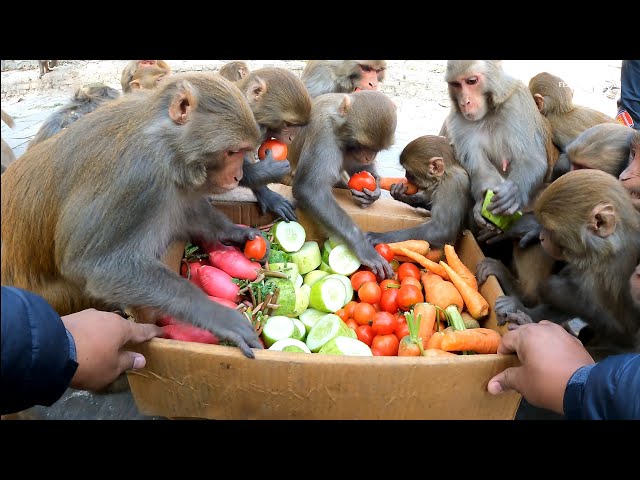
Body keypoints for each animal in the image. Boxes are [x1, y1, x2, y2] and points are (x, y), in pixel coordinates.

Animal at [1, 72, 264, 358]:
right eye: (233, 152)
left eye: (242, 151)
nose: (238, 176)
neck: (164, 143)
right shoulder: (138, 177)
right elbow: (93, 265)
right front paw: (217, 315)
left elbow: (184, 213)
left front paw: (236, 232)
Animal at [290, 90, 397, 279]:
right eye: (362, 145)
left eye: (377, 149)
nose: (369, 156)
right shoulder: (324, 135)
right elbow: (310, 189)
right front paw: (362, 245)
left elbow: (358, 168)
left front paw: (373, 191)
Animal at [493, 170, 640, 353]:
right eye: (545, 228)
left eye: (552, 231)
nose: (542, 237)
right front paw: (530, 228)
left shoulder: (600, 273)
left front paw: (521, 307)